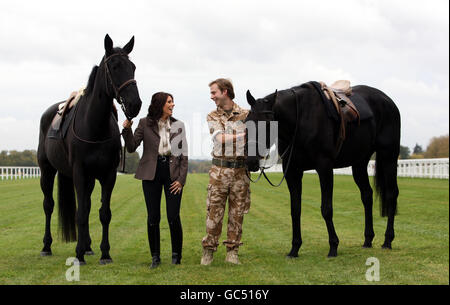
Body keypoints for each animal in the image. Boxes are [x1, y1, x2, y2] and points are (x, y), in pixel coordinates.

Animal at [38, 34, 142, 264]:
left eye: (133, 67)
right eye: (114, 66)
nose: (135, 104)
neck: (94, 126)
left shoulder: (107, 175)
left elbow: (104, 213)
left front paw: (105, 252)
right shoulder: (79, 172)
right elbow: (80, 214)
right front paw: (78, 254)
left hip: (89, 179)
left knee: (86, 205)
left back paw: (87, 247)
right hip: (47, 171)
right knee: (49, 205)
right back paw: (47, 246)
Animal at [246, 82, 400, 258]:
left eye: (267, 124)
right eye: (246, 121)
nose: (250, 161)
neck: (301, 119)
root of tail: (387, 100)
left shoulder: (324, 167)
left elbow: (326, 209)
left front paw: (333, 246)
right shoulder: (292, 171)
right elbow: (295, 210)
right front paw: (294, 248)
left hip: (389, 156)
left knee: (391, 194)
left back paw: (388, 240)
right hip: (359, 163)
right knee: (367, 195)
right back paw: (368, 239)